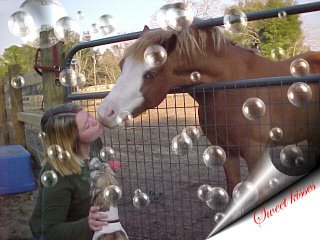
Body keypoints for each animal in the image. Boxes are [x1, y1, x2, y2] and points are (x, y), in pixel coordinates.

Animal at [97, 24, 320, 193]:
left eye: (150, 74)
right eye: (122, 66)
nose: (104, 113)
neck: (232, 86)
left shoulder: (255, 152)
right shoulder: (225, 152)